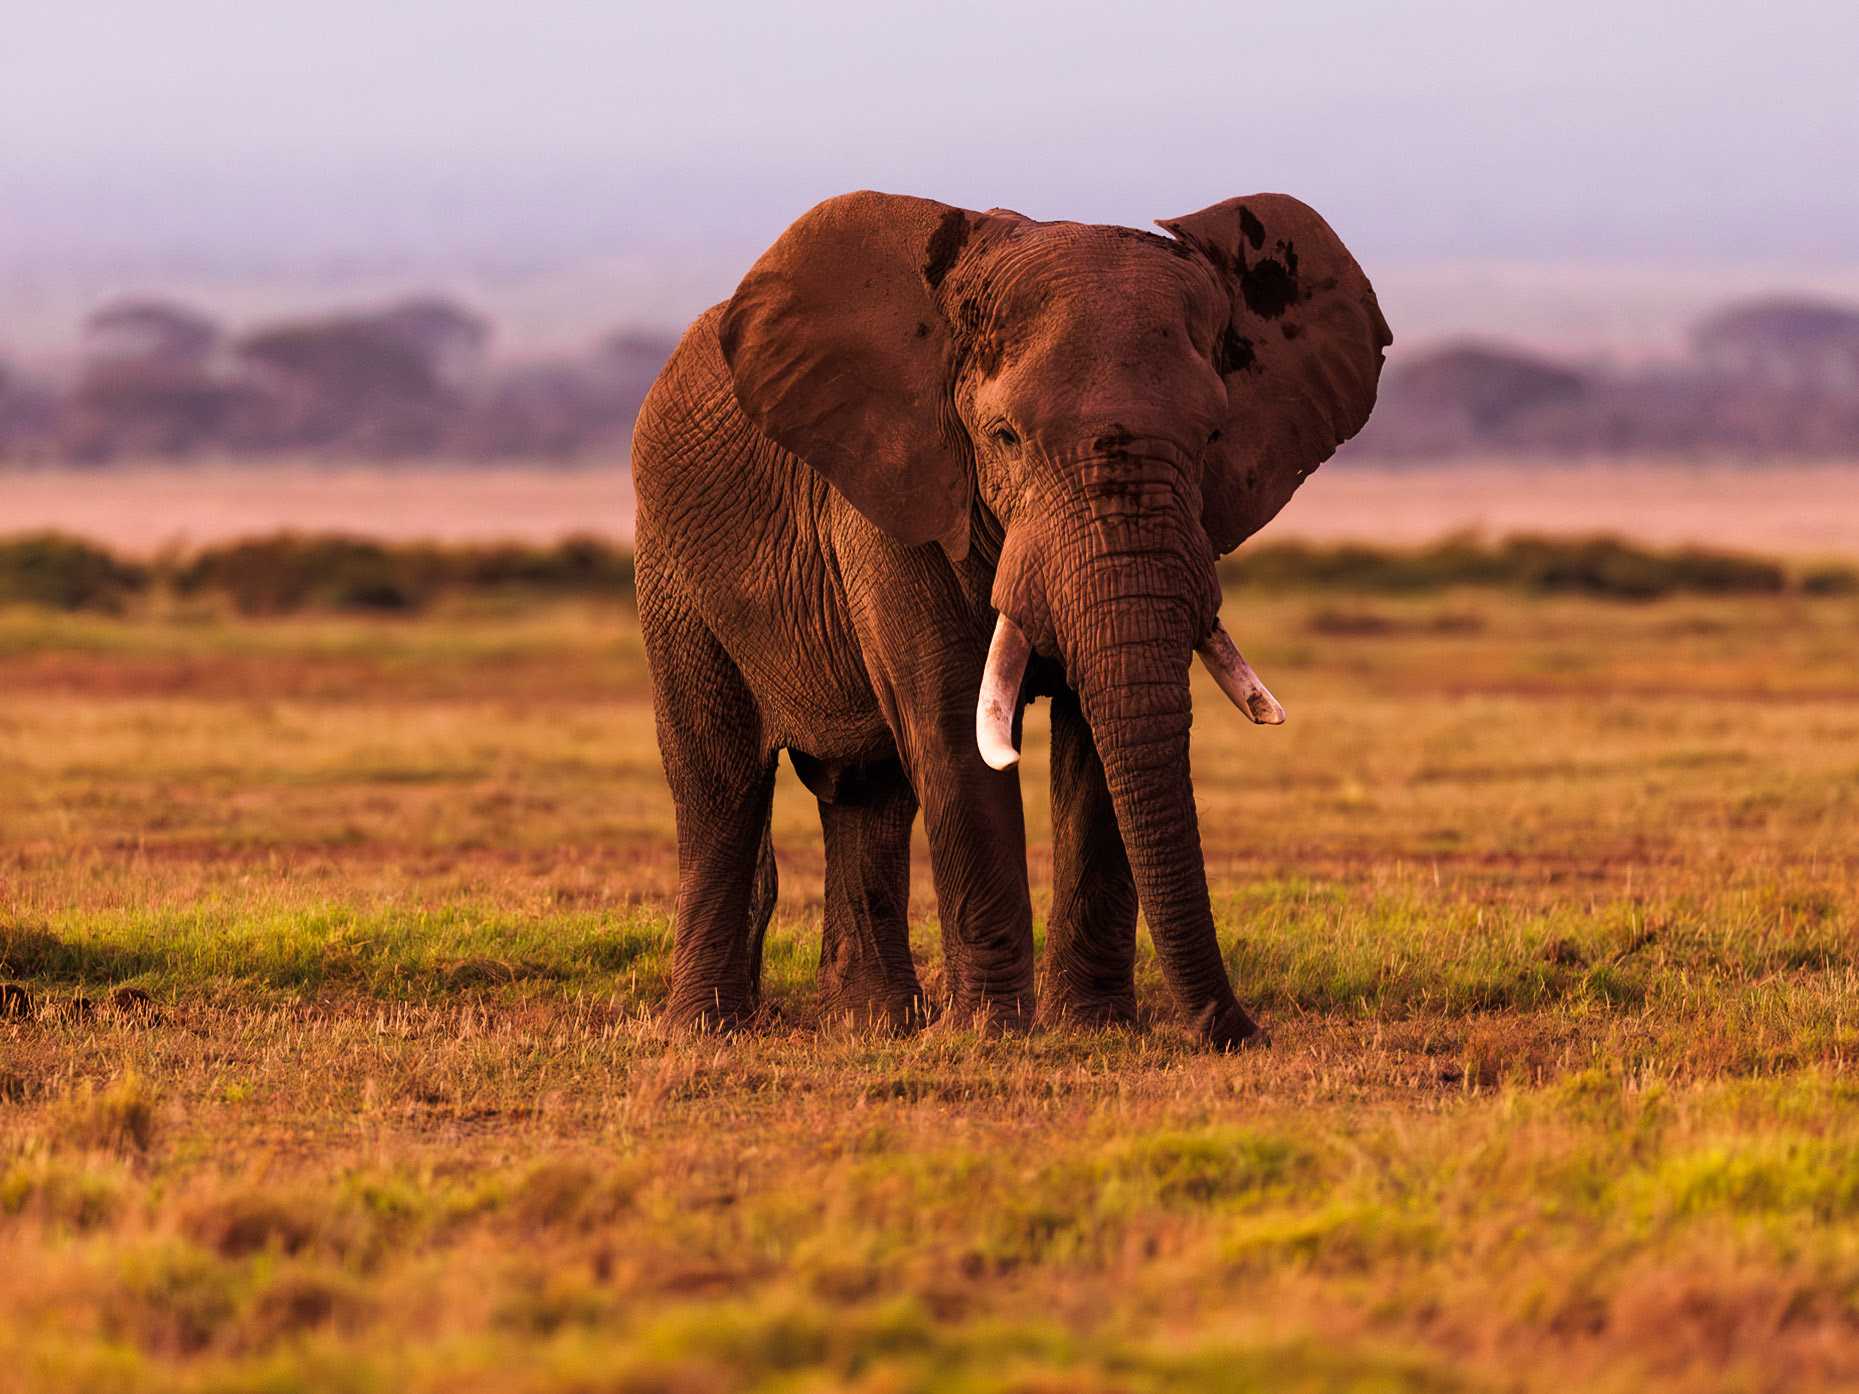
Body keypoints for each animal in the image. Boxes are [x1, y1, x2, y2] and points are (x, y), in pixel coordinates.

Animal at [632, 189, 1388, 1049]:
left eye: (1211, 437)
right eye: (1004, 438)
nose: (1237, 1033)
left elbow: (1097, 738)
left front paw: (1091, 1030)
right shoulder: (897, 488)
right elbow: (953, 730)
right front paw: (992, 1034)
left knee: (867, 791)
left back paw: (874, 1027)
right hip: (671, 564)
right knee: (719, 782)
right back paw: (706, 1031)